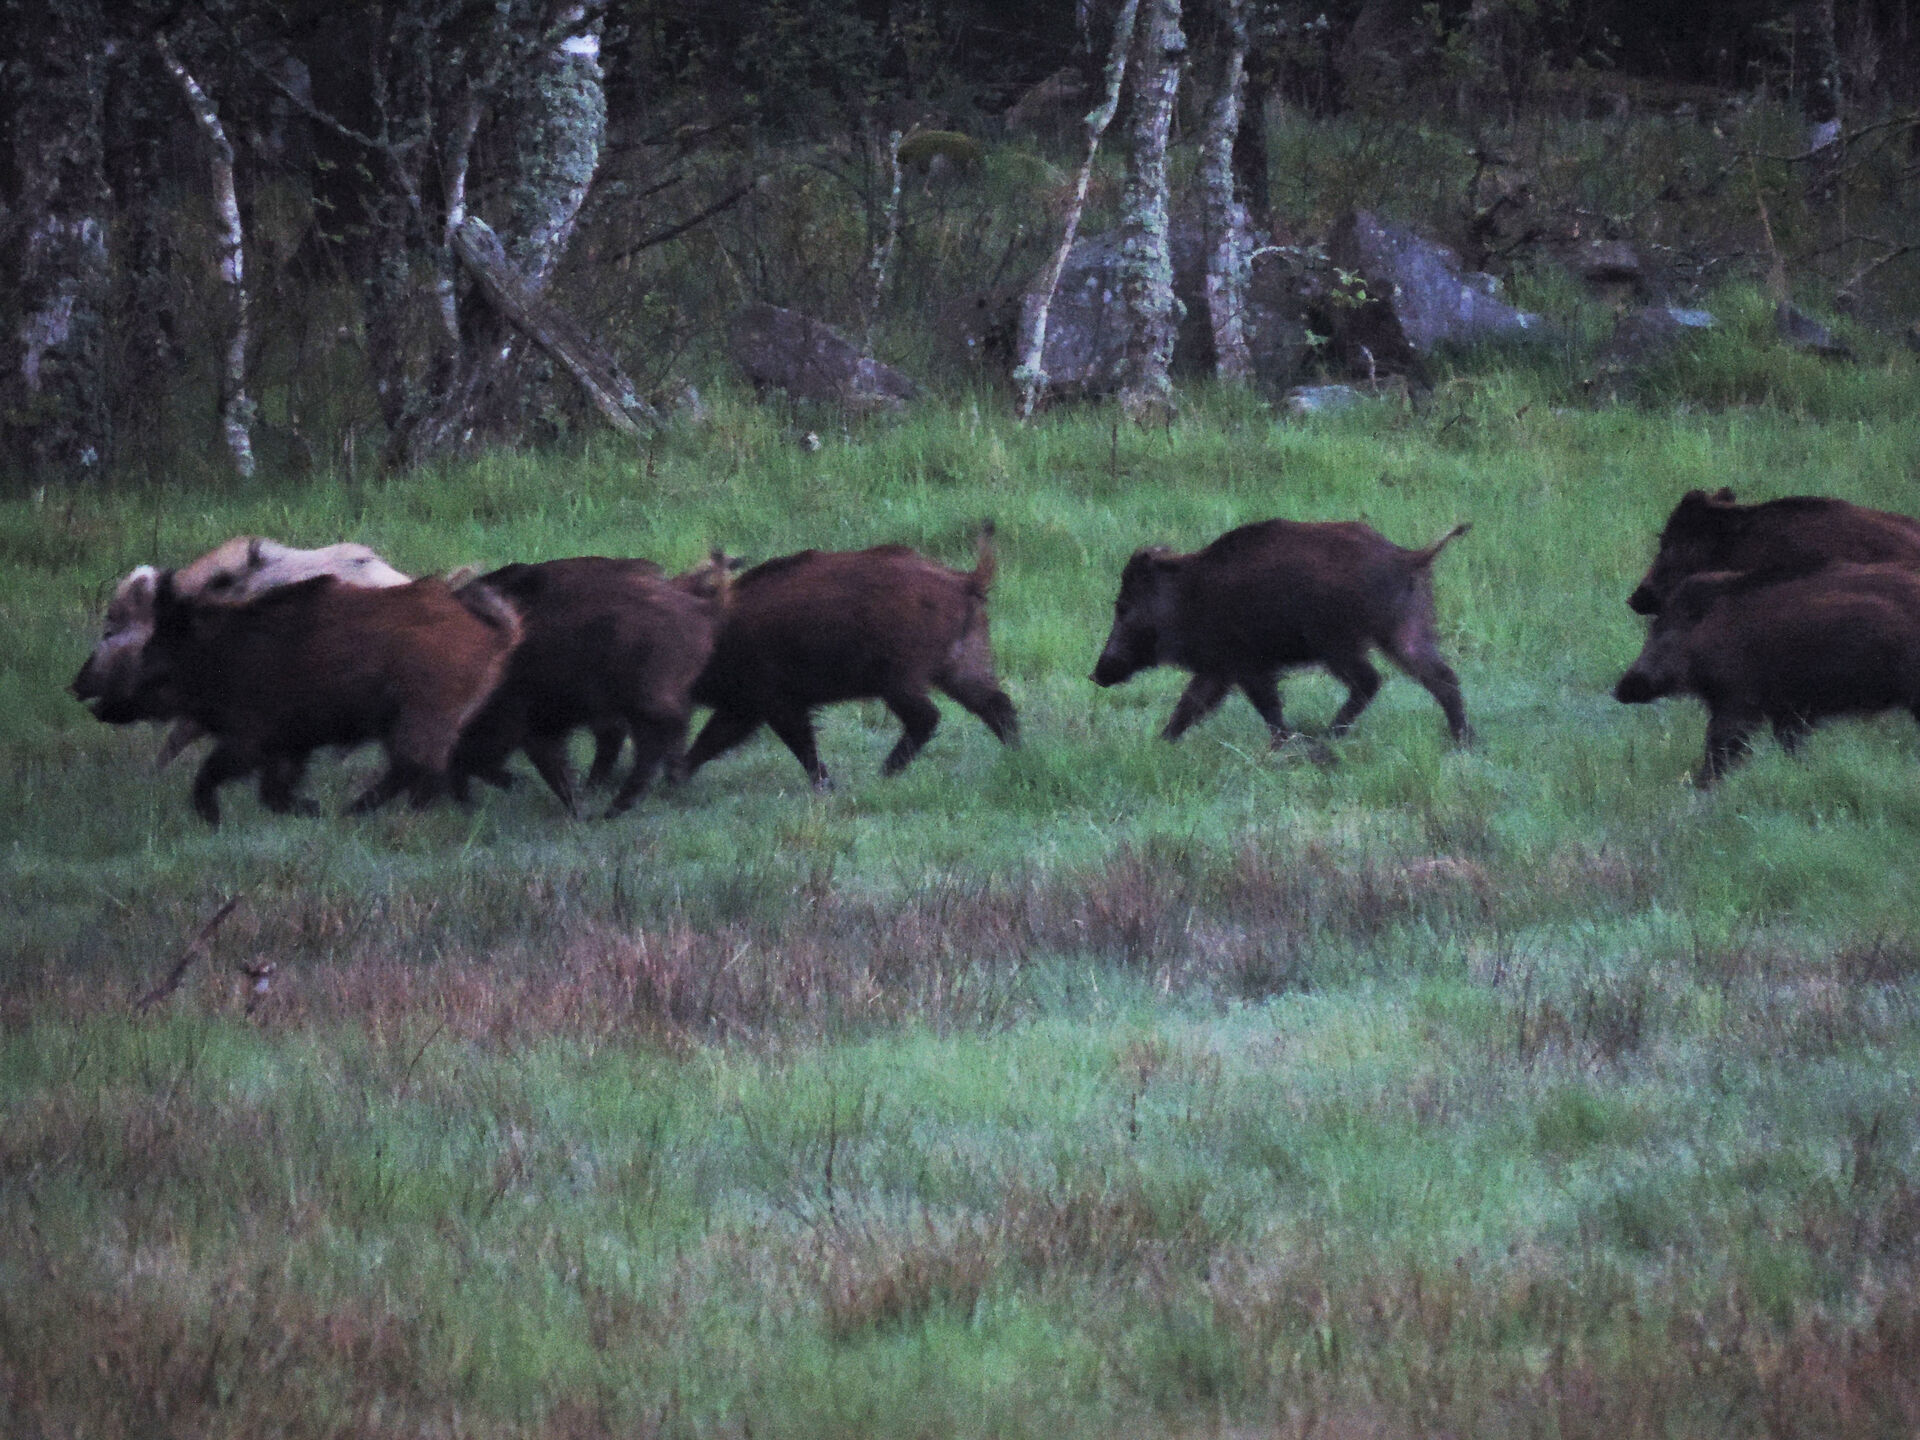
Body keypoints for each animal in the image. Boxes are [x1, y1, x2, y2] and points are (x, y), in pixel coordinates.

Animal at [137, 573, 521, 825]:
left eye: (157, 653)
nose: (114, 705)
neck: (220, 655)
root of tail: (495, 635)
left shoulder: (253, 734)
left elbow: (219, 772)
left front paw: (213, 820)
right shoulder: (286, 744)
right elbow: (272, 790)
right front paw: (311, 810)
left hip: (421, 714)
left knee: (418, 769)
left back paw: (368, 814)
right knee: (414, 769)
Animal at [452, 554, 732, 817]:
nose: (457, 804)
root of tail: (700, 610)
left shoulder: (523, 718)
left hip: (645, 698)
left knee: (657, 738)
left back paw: (617, 807)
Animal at [680, 523, 1019, 789]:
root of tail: (966, 580)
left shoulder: (771, 700)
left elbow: (798, 743)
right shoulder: (749, 704)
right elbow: (713, 738)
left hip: (899, 678)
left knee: (928, 716)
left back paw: (884, 773)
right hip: (961, 664)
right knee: (997, 704)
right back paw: (1018, 754)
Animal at [1091, 518, 1473, 747]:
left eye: (1123, 607)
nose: (1095, 674)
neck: (1186, 598)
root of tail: (1408, 556)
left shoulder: (1244, 663)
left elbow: (1265, 706)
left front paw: (1285, 745)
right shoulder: (1220, 667)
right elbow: (1190, 704)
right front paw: (1161, 743)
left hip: (1337, 640)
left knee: (1370, 680)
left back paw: (1327, 738)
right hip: (1405, 628)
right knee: (1442, 676)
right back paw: (1463, 741)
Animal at [1614, 563, 1920, 784]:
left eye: (1665, 634)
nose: (1620, 689)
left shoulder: (1739, 702)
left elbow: (1720, 748)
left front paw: (1699, 786)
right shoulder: (1790, 712)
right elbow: (1791, 748)